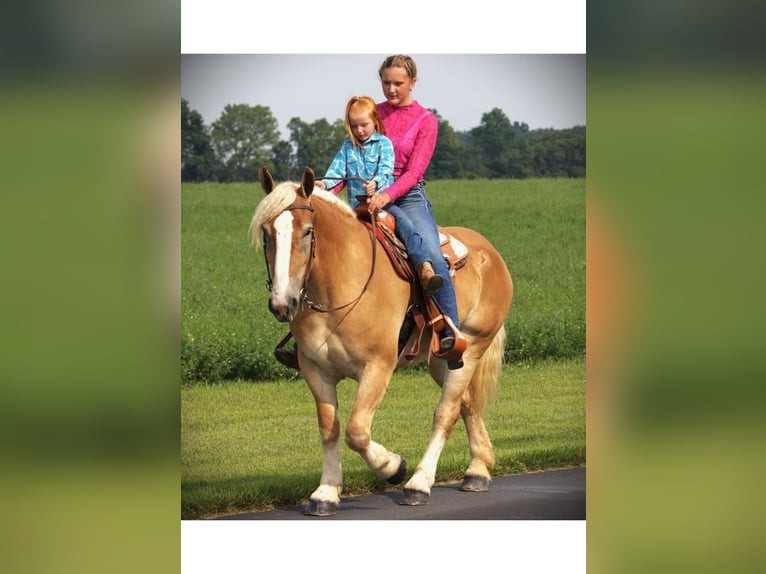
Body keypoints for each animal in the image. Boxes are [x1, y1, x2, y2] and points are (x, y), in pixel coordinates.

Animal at [249, 166, 514, 515]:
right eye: (267, 233)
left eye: (307, 231)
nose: (282, 304)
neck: (342, 285)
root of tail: (490, 253)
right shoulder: (316, 371)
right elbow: (329, 428)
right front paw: (326, 492)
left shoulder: (377, 368)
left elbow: (356, 431)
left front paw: (394, 467)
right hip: (442, 361)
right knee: (466, 405)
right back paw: (478, 471)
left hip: (470, 348)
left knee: (446, 412)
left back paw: (418, 484)